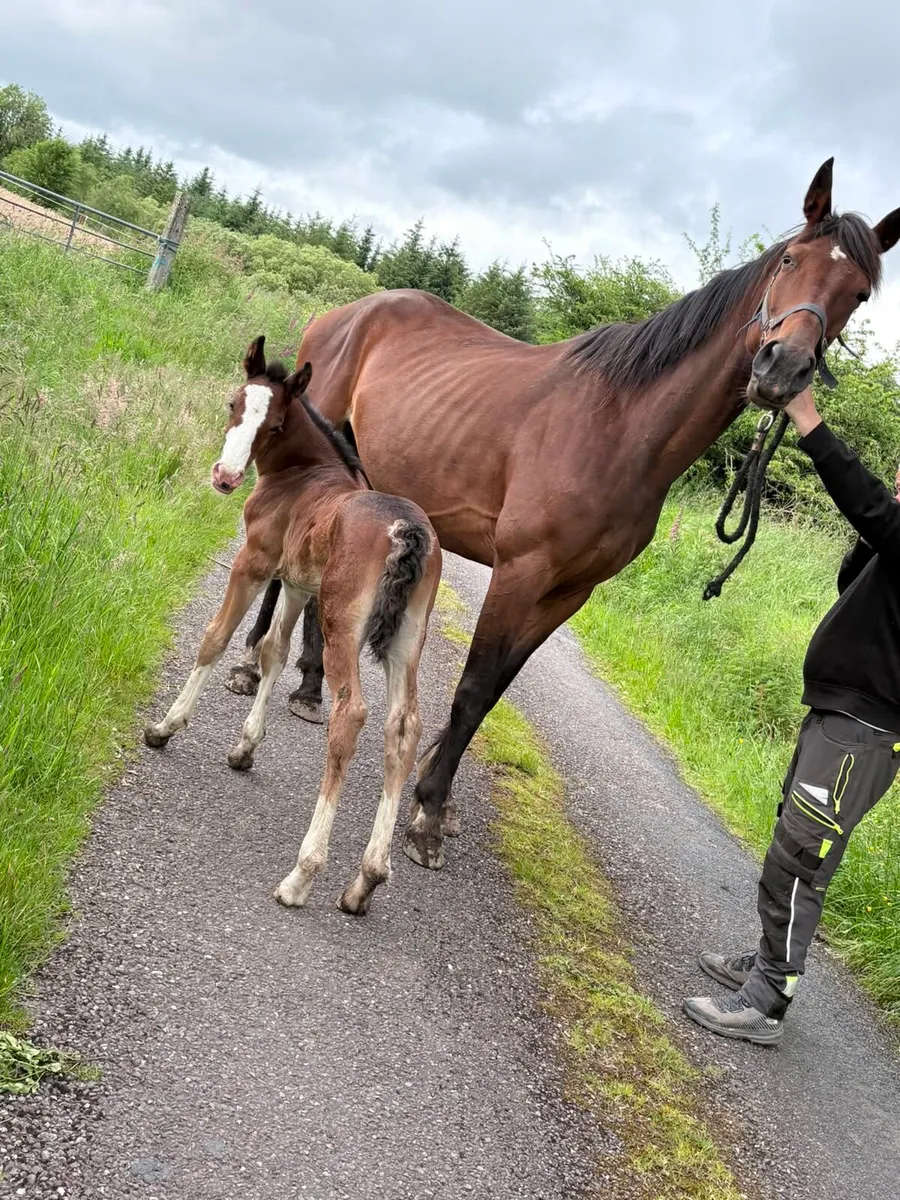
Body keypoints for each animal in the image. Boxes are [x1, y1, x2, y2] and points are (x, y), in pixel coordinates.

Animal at [143, 337, 442, 915]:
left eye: (276, 423)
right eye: (234, 403)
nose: (225, 477)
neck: (302, 475)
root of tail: (407, 532)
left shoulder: (255, 563)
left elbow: (216, 639)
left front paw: (165, 727)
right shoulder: (299, 584)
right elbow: (274, 651)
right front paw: (244, 749)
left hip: (343, 623)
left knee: (352, 713)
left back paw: (302, 875)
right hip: (406, 639)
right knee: (404, 725)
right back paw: (364, 881)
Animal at [232, 158, 900, 874]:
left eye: (859, 293)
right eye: (791, 259)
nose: (783, 370)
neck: (621, 428)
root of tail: (349, 311)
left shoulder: (569, 591)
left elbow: (493, 691)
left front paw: (435, 796)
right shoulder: (521, 571)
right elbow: (473, 685)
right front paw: (429, 817)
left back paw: (309, 686)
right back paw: (252, 669)